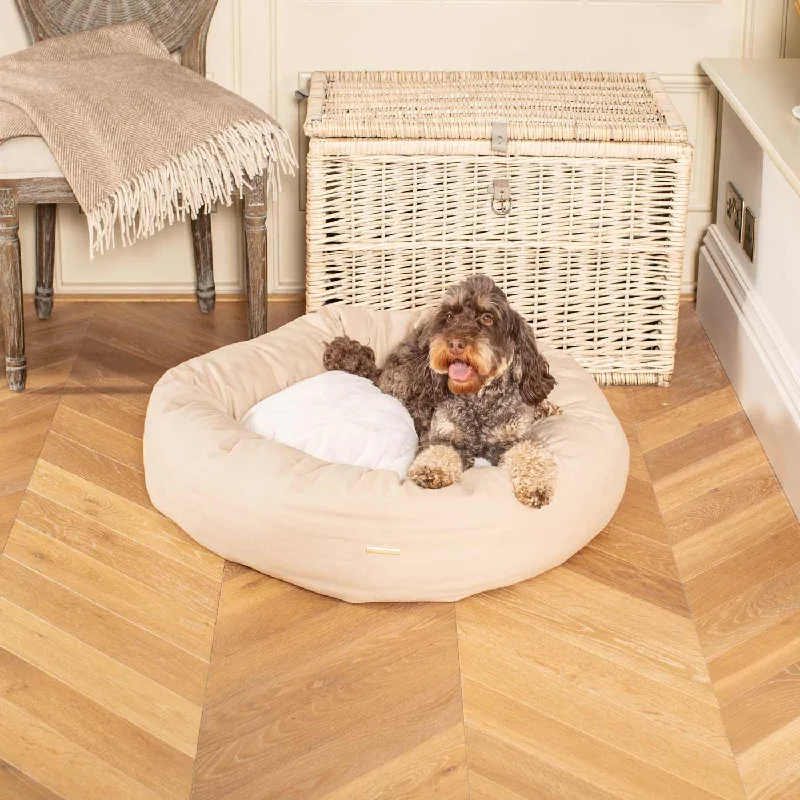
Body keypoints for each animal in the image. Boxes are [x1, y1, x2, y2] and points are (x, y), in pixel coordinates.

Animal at [322, 276, 560, 506]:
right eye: (449, 316)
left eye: (487, 318)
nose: (455, 344)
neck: (479, 401)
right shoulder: (441, 436)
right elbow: (438, 451)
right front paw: (431, 469)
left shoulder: (517, 438)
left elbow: (531, 452)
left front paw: (536, 486)